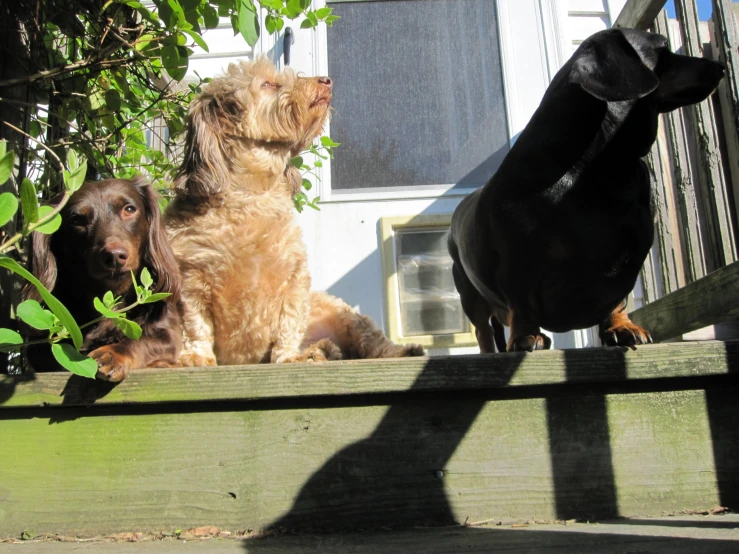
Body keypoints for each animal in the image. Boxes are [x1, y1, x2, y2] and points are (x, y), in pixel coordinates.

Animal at [26, 178, 184, 380]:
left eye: (129, 209)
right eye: (76, 220)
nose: (115, 256)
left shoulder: (167, 333)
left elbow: (140, 340)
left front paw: (112, 354)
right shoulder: (40, 349)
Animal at [448, 27, 724, 350]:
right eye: (663, 47)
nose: (720, 66)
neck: (598, 167)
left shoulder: (626, 265)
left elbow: (617, 301)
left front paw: (621, 327)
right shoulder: (516, 264)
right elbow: (522, 305)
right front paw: (527, 335)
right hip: (470, 295)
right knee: (484, 332)